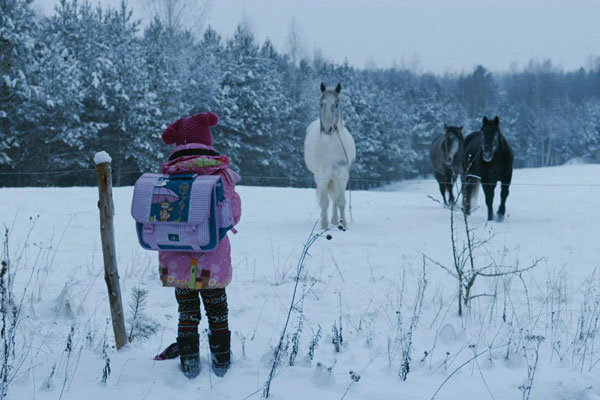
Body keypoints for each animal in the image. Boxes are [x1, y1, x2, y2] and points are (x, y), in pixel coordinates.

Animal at [304, 83, 356, 230]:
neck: (330, 145)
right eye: (321, 103)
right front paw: (324, 225)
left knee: (335, 197)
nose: (327, 129)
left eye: (336, 104)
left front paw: (343, 224)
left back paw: (335, 220)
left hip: (335, 176)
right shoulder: (321, 175)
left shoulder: (342, 173)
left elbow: (341, 201)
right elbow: (324, 202)